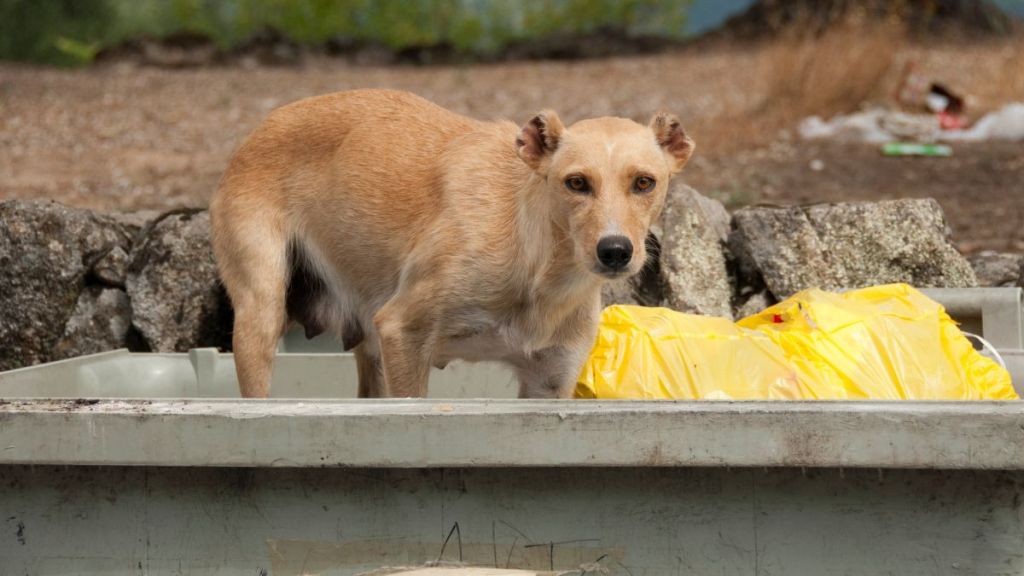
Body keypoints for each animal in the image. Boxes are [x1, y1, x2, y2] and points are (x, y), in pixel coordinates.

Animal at [210, 89, 696, 397]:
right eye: (576, 183)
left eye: (644, 182)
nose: (614, 251)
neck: (536, 261)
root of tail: (260, 127)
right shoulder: (402, 333)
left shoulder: (549, 380)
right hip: (261, 317)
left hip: (370, 353)